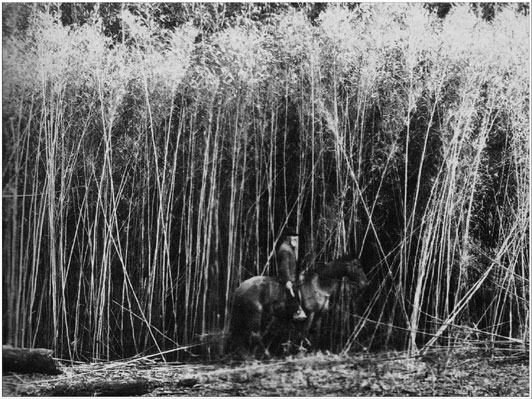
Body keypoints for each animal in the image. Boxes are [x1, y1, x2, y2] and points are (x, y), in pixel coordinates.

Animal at [229, 256, 370, 360]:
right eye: (357, 267)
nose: (365, 284)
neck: (319, 286)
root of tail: (239, 288)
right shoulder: (310, 314)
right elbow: (304, 332)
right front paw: (300, 352)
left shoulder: (319, 315)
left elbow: (315, 332)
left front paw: (314, 351)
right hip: (255, 314)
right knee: (255, 334)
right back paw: (265, 355)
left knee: (240, 334)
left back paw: (246, 356)